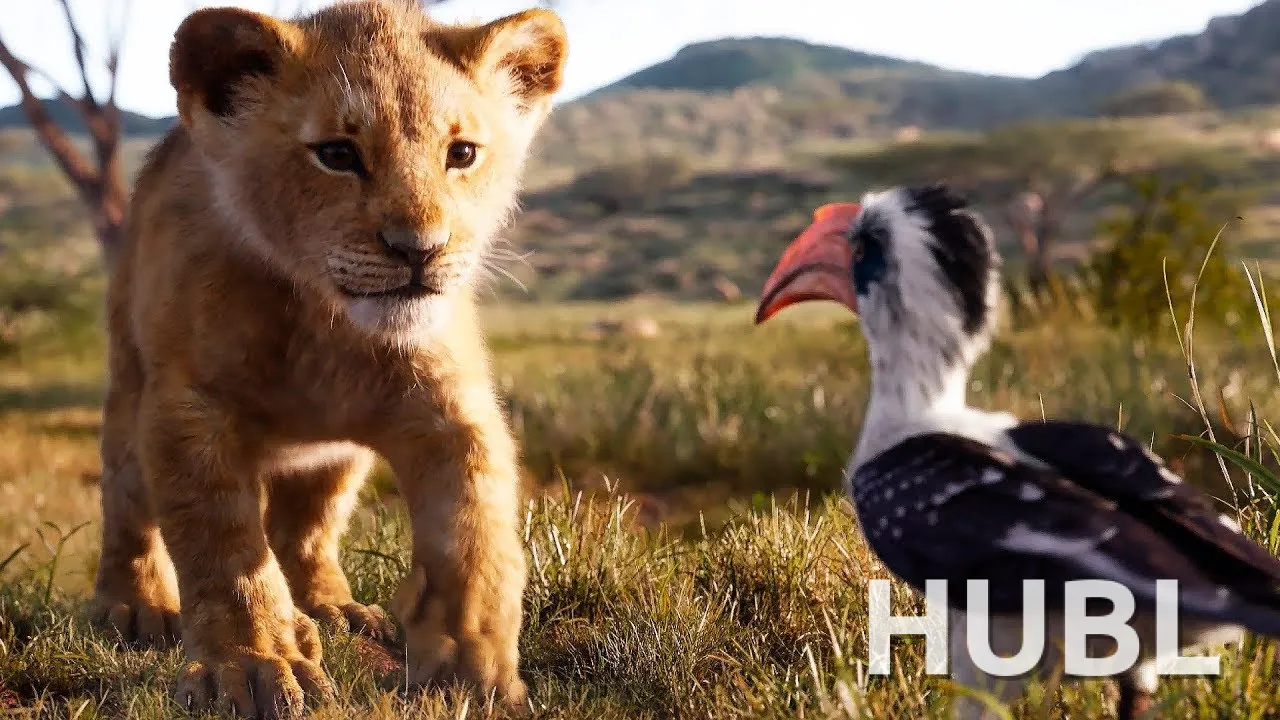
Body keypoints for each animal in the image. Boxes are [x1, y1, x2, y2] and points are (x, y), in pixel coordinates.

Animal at [87, 1, 567, 716]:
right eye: (337, 154)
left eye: (461, 153)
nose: (420, 250)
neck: (326, 326)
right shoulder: (189, 409)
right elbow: (224, 551)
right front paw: (252, 668)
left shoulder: (450, 409)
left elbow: (473, 533)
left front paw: (469, 668)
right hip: (128, 387)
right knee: (127, 504)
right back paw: (134, 607)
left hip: (336, 458)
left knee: (307, 527)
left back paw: (330, 609)